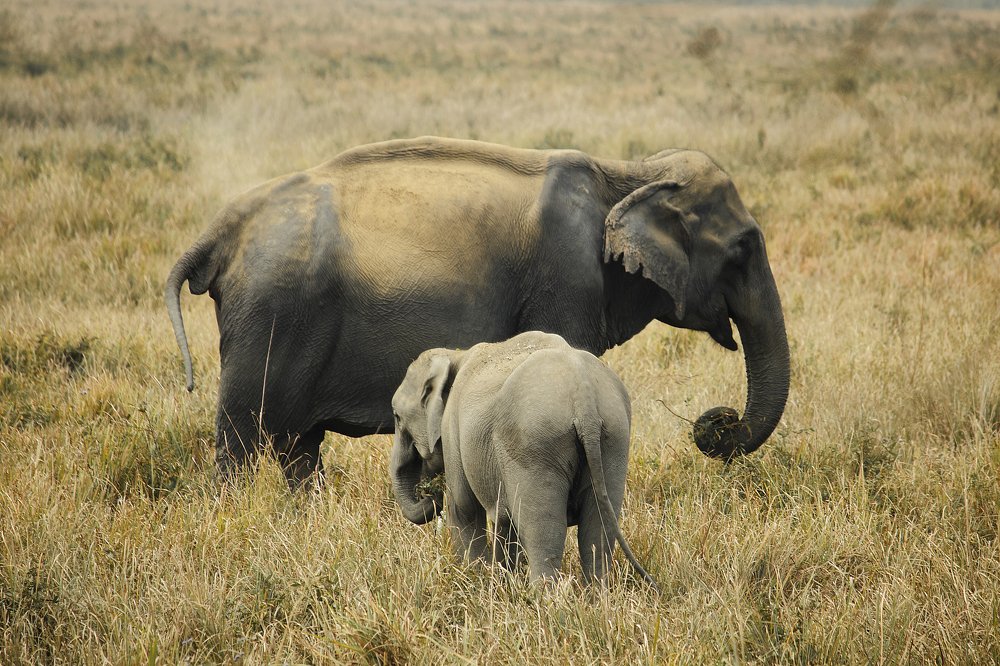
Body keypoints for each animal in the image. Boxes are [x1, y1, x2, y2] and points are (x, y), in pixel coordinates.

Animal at [165, 136, 790, 486]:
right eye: (743, 249)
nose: (717, 422)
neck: (630, 172)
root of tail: (220, 233)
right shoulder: (566, 280)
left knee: (298, 447)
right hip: (269, 318)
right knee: (243, 443)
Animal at [390, 331, 657, 587]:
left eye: (397, 417)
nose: (427, 494)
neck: (455, 355)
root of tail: (585, 402)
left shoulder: (452, 429)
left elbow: (463, 509)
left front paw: (475, 581)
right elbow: (504, 520)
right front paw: (503, 582)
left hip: (535, 445)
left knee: (544, 531)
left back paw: (544, 598)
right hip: (613, 439)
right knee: (597, 531)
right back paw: (598, 597)